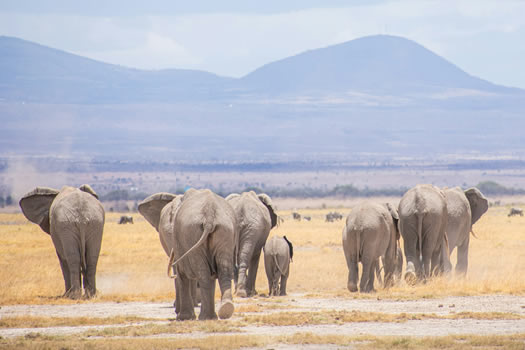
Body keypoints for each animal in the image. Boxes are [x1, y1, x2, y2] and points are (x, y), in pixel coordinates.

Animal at [167, 189, 236, 320]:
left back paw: (205, 317)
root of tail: (209, 216)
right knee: (224, 270)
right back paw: (224, 310)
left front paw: (183, 318)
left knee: (203, 274)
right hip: (226, 231)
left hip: (191, 234)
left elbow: (182, 274)